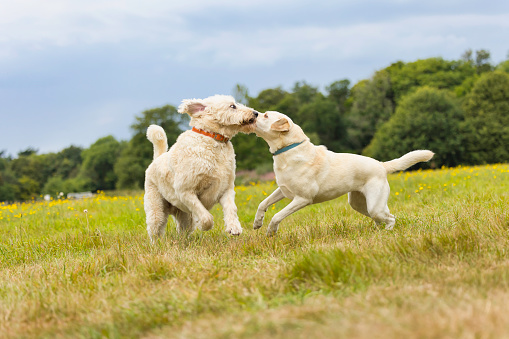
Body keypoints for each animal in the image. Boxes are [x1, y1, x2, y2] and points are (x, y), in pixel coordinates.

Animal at [145, 95, 260, 242]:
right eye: (232, 106)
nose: (256, 113)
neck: (213, 138)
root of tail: (156, 159)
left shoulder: (226, 189)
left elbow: (231, 209)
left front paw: (234, 227)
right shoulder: (185, 191)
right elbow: (205, 216)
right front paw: (204, 225)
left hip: (183, 216)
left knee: (182, 231)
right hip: (156, 210)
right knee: (155, 231)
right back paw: (158, 244)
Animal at [253, 111, 432, 236]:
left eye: (266, 115)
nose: (254, 113)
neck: (288, 149)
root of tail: (381, 165)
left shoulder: (302, 199)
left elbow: (277, 215)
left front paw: (271, 231)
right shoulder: (283, 190)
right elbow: (263, 203)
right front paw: (257, 223)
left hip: (374, 206)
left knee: (391, 218)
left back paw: (387, 233)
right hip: (360, 204)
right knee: (384, 216)